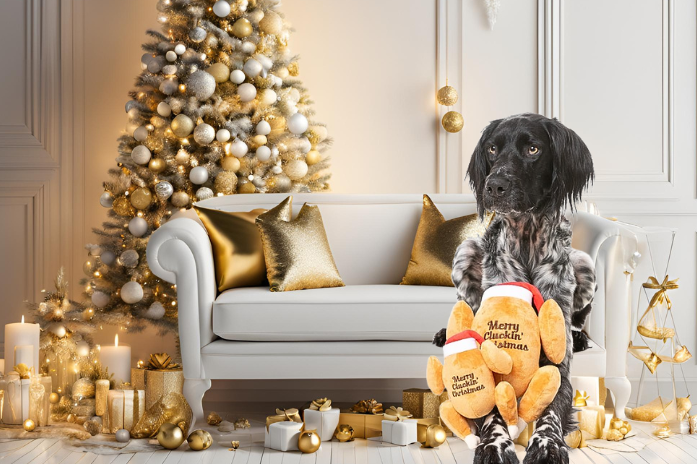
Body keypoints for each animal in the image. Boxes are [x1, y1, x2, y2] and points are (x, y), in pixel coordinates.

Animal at [436, 113, 592, 464]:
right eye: (492, 149)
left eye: (533, 149)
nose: (494, 185)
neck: (527, 237)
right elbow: (491, 411)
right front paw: (494, 445)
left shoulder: (559, 366)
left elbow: (551, 409)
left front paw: (547, 445)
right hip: (465, 250)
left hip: (585, 264)